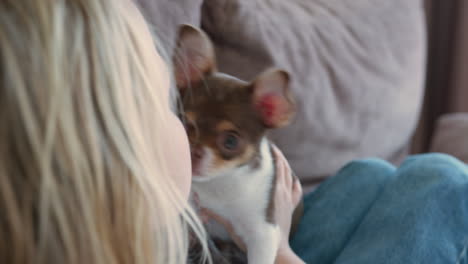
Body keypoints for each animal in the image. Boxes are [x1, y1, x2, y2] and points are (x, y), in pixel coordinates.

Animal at [174, 25, 302, 264]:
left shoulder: (264, 235)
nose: (192, 151)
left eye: (231, 141)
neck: (218, 183)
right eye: (185, 124)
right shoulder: (191, 215)